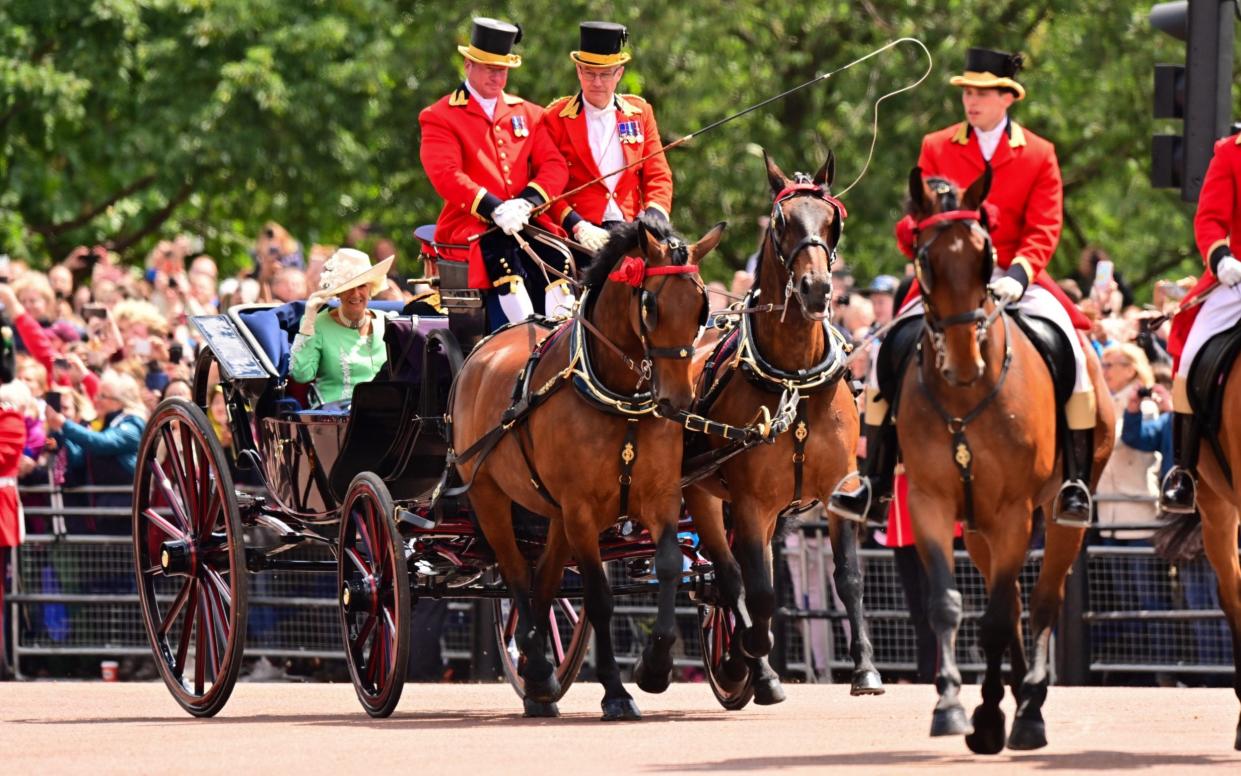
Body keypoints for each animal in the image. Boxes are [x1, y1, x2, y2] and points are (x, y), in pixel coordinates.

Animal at [449, 213, 724, 720]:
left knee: (541, 582)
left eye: (701, 307)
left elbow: (670, 566)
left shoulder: (658, 498)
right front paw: (616, 692)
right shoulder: (582, 510)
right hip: (490, 498)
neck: (620, 398)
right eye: (650, 305)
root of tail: (482, 349)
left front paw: (655, 667)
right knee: (516, 574)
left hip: (555, 514)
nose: (677, 402)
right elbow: (598, 599)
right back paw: (538, 667)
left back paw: (538, 679)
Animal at [680, 151, 883, 700]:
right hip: (702, 496)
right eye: (780, 223)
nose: (817, 289)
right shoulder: (750, 505)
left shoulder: (840, 491)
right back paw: (747, 666)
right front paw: (743, 659)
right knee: (728, 576)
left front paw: (865, 668)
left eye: (832, 222)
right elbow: (762, 591)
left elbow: (848, 578)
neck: (793, 377)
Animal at [898, 167, 1111, 749]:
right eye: (925, 258)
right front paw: (951, 704)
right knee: (1013, 599)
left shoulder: (1014, 511)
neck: (965, 397)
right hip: (978, 527)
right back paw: (1017, 690)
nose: (963, 360)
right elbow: (948, 605)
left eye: (985, 256)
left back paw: (1031, 706)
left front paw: (992, 717)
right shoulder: (929, 504)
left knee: (1042, 598)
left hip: (1057, 515)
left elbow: (997, 618)